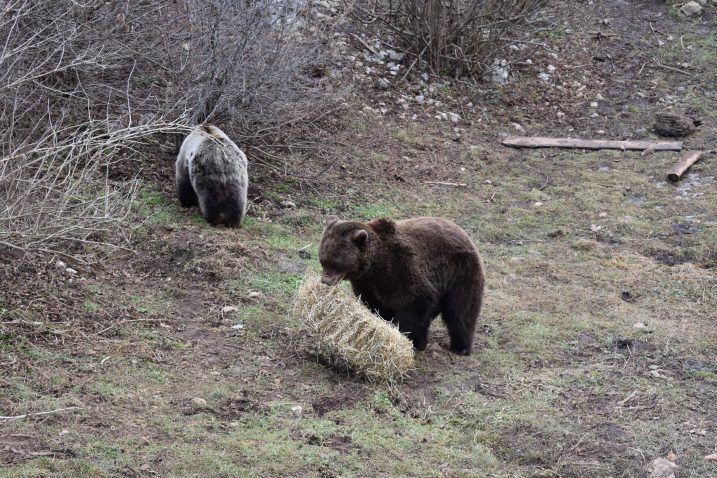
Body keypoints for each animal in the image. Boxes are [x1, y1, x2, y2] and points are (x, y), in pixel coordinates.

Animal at [320, 217, 484, 354]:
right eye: (323, 260)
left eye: (336, 262)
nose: (325, 281)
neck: (374, 267)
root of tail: (464, 233)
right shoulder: (367, 285)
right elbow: (376, 306)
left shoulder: (402, 270)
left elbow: (414, 304)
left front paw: (404, 335)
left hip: (461, 272)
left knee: (461, 311)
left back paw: (461, 347)